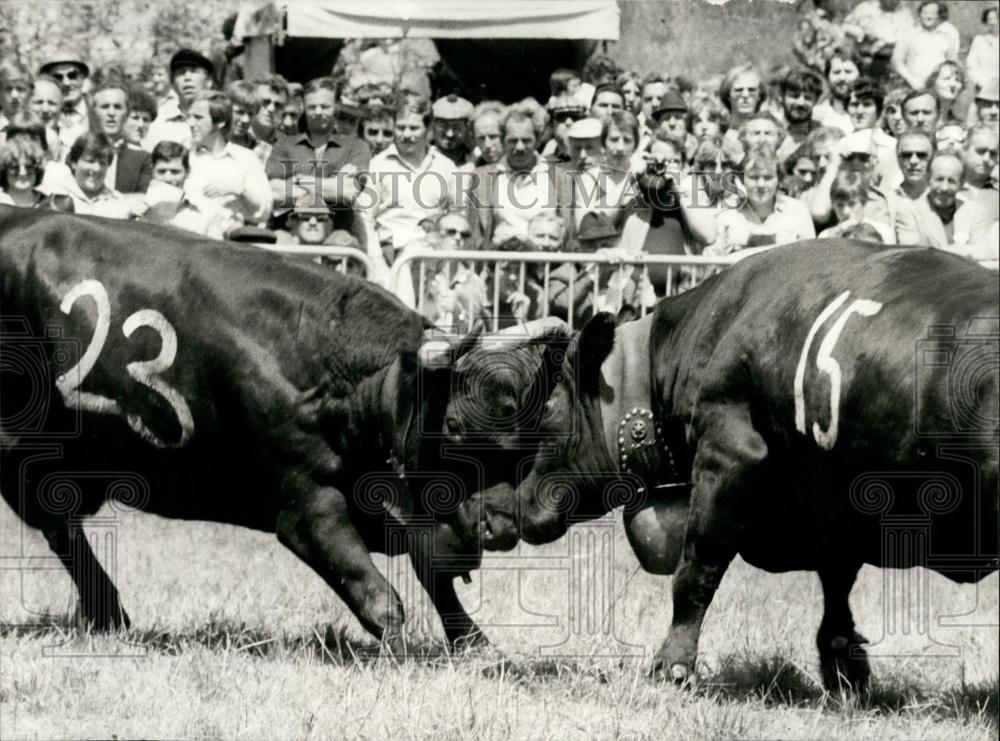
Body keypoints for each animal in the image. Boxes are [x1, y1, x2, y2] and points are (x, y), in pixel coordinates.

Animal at [0, 205, 520, 652]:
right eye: (453, 426)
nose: (501, 526)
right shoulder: (306, 506)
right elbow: (376, 593)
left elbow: (434, 577)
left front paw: (477, 646)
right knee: (59, 528)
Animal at [458, 243, 992, 692]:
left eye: (548, 408)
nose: (487, 512)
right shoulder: (832, 504)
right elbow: (837, 584)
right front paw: (845, 671)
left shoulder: (729, 455)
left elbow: (696, 568)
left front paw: (672, 667)